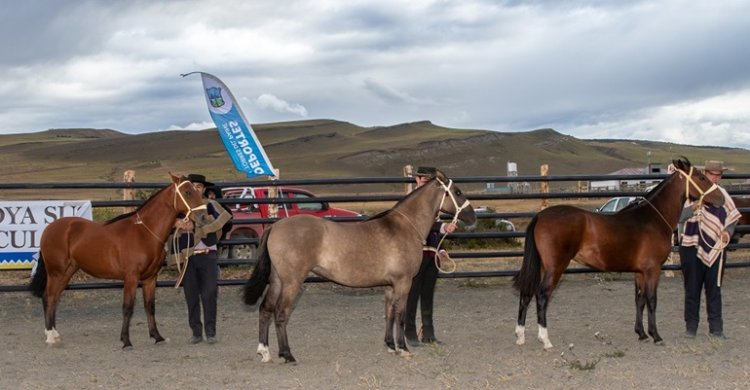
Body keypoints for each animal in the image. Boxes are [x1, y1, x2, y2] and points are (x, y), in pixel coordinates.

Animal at [28, 172, 210, 348]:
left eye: (196, 190)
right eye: (187, 192)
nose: (203, 217)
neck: (144, 233)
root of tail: (49, 229)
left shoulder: (150, 278)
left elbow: (150, 307)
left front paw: (157, 337)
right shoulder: (131, 278)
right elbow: (128, 308)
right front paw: (126, 341)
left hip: (67, 272)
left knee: (54, 298)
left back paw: (55, 333)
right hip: (56, 272)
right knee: (49, 297)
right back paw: (50, 336)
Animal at [244, 171, 476, 362]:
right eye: (457, 191)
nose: (473, 217)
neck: (406, 227)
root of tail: (275, 226)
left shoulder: (390, 286)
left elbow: (389, 314)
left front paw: (390, 346)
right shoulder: (403, 283)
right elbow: (400, 315)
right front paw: (403, 349)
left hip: (277, 280)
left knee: (265, 309)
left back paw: (264, 352)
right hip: (292, 283)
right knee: (280, 313)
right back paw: (287, 354)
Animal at [516, 158, 724, 350]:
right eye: (701, 177)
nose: (721, 198)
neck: (653, 219)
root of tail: (540, 216)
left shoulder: (640, 272)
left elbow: (639, 300)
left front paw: (641, 334)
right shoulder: (653, 269)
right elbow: (651, 300)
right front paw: (656, 336)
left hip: (542, 266)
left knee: (527, 293)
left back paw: (520, 335)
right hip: (555, 267)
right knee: (542, 295)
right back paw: (545, 339)